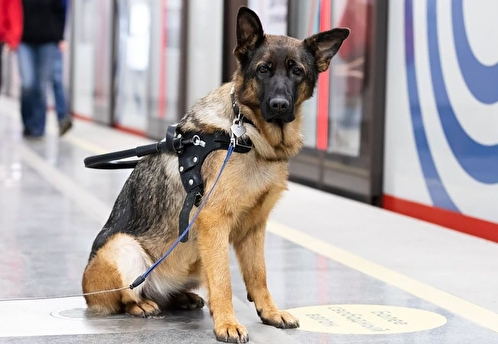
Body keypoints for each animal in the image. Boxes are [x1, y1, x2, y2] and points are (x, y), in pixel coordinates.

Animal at [82, 6, 346, 342]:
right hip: (124, 248)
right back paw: (141, 304)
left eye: (296, 71)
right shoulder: (213, 221)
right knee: (128, 294)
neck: (247, 132)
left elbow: (258, 274)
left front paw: (270, 312)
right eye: (263, 70)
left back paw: (180, 297)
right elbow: (223, 280)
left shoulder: (254, 227)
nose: (279, 105)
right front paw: (227, 323)